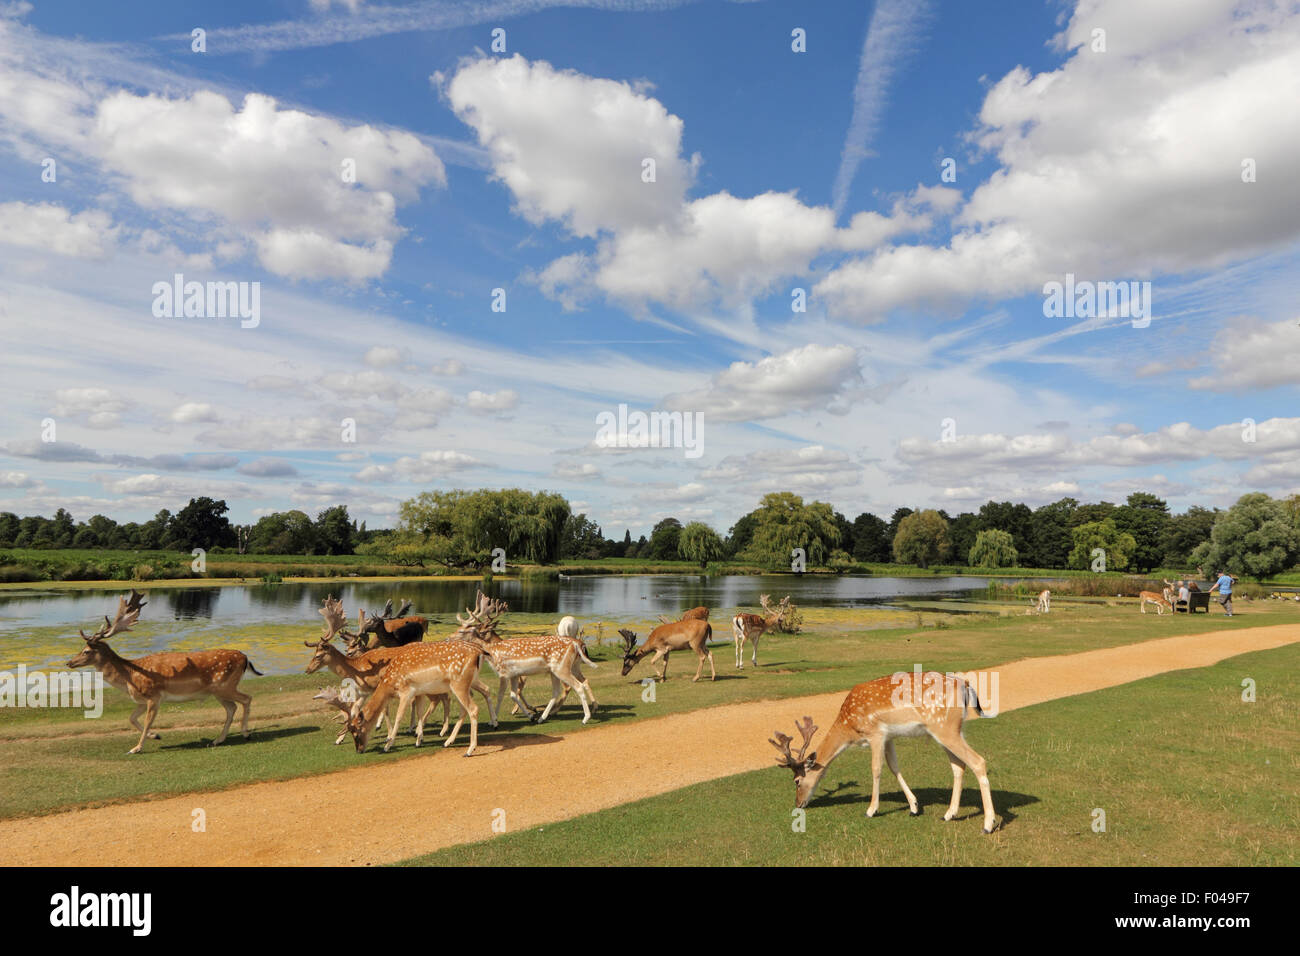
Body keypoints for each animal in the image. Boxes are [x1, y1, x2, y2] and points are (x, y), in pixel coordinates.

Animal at [65, 590, 263, 754]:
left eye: (86, 651)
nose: (69, 662)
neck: (129, 677)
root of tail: (245, 658)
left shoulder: (154, 696)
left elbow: (146, 722)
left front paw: (136, 748)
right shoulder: (141, 700)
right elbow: (131, 718)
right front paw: (156, 736)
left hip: (224, 685)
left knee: (246, 699)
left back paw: (245, 733)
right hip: (218, 691)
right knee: (232, 707)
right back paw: (218, 740)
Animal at [764, 671, 998, 832]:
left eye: (796, 781)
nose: (798, 803)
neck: (848, 726)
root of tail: (965, 685)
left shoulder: (875, 733)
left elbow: (876, 769)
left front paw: (871, 810)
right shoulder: (889, 737)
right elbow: (894, 767)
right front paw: (914, 806)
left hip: (945, 728)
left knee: (978, 761)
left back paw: (988, 824)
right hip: (950, 731)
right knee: (959, 765)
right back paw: (949, 814)